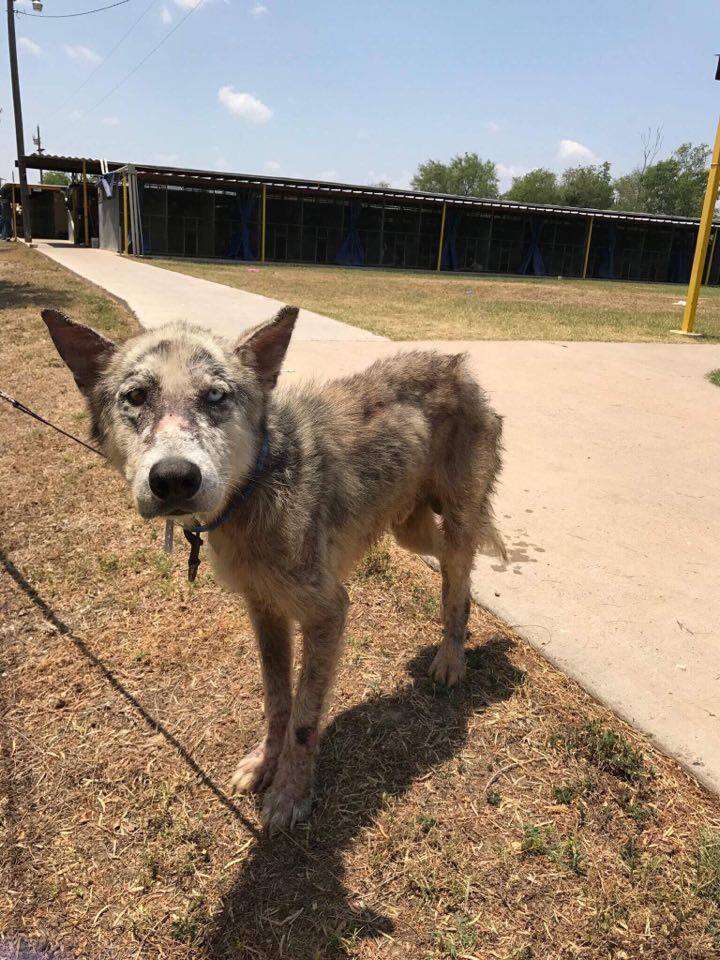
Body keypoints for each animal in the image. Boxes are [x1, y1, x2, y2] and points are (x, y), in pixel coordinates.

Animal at [43, 308, 506, 832]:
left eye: (216, 397)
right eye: (136, 396)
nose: (174, 479)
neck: (254, 487)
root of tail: (456, 364)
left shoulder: (328, 612)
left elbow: (304, 718)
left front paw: (290, 793)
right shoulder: (264, 610)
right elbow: (277, 700)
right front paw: (266, 764)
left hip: (451, 525)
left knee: (459, 581)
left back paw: (451, 657)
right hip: (408, 528)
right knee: (453, 569)